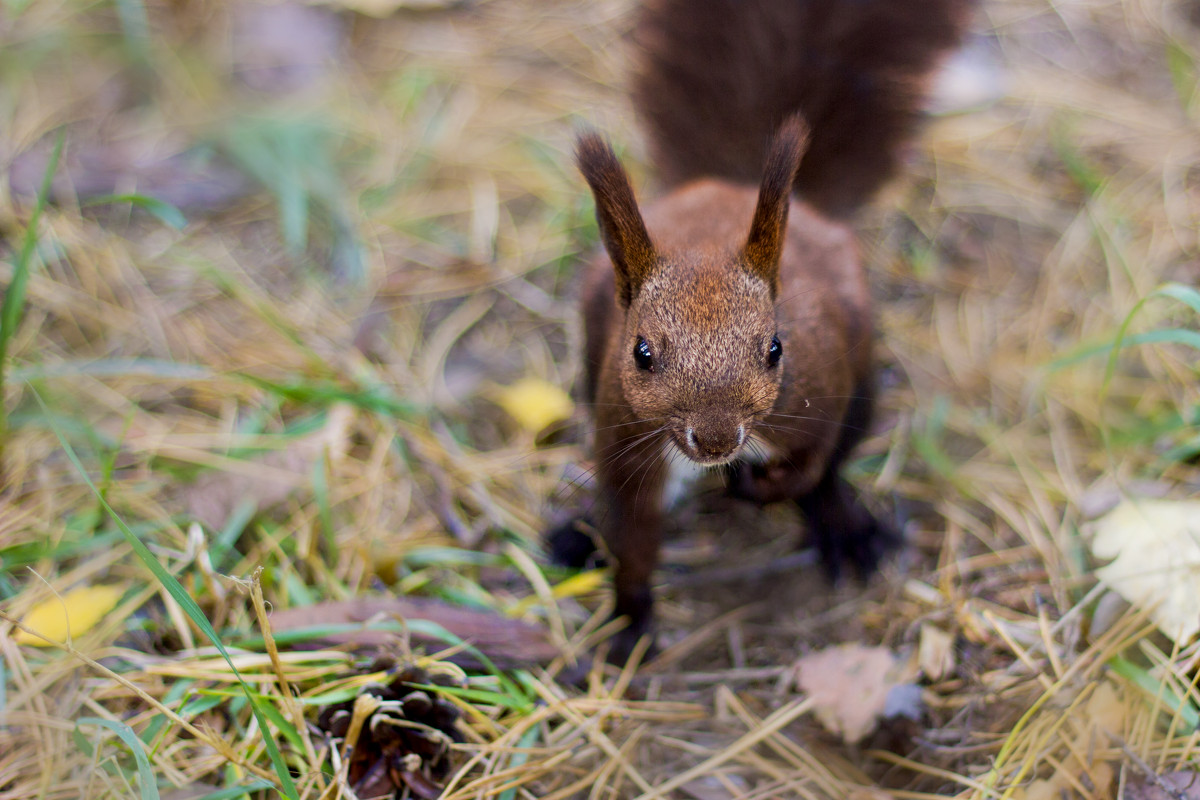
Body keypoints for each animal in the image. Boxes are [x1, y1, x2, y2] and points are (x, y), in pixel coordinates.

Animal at [552, 0, 974, 662]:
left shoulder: (818, 394)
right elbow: (632, 534)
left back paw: (846, 530)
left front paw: (758, 488)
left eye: (776, 348)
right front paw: (629, 617)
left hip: (864, 383)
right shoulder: (623, 441)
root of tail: (728, 185)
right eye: (641, 353)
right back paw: (577, 533)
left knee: (833, 469)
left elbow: (810, 464)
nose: (716, 441)